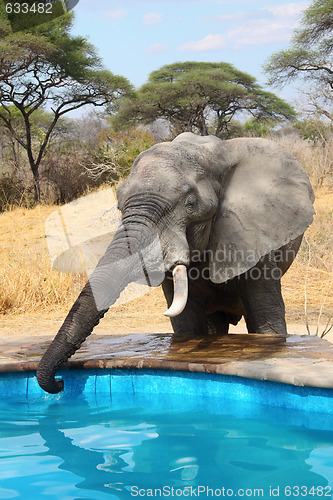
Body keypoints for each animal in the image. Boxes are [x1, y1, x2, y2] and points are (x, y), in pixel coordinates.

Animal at [37, 133, 314, 394]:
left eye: (191, 204)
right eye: (119, 205)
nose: (60, 382)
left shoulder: (257, 234)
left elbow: (266, 319)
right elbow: (186, 324)